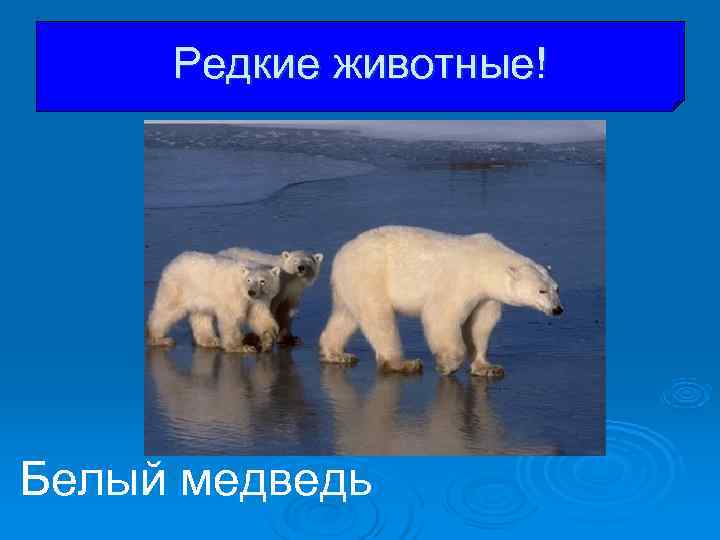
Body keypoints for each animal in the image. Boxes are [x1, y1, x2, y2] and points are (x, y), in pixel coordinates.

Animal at [146, 251, 281, 353]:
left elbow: (260, 316)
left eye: (262, 281)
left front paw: (268, 340)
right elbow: (231, 318)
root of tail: (172, 262)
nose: (251, 292)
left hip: (200, 295)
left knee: (201, 315)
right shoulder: (234, 294)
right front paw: (241, 347)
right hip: (178, 288)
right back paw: (159, 339)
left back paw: (210, 340)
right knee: (167, 310)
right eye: (249, 280)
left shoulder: (259, 300)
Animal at [319, 226, 563, 376]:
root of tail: (342, 253)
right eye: (541, 291)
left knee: (346, 316)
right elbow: (442, 315)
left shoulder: (485, 296)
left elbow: (481, 325)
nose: (557, 309)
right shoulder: (459, 281)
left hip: (350, 285)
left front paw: (488, 367)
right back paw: (403, 363)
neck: (485, 263)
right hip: (370, 276)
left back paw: (336, 354)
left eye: (556, 288)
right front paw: (447, 364)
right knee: (379, 319)